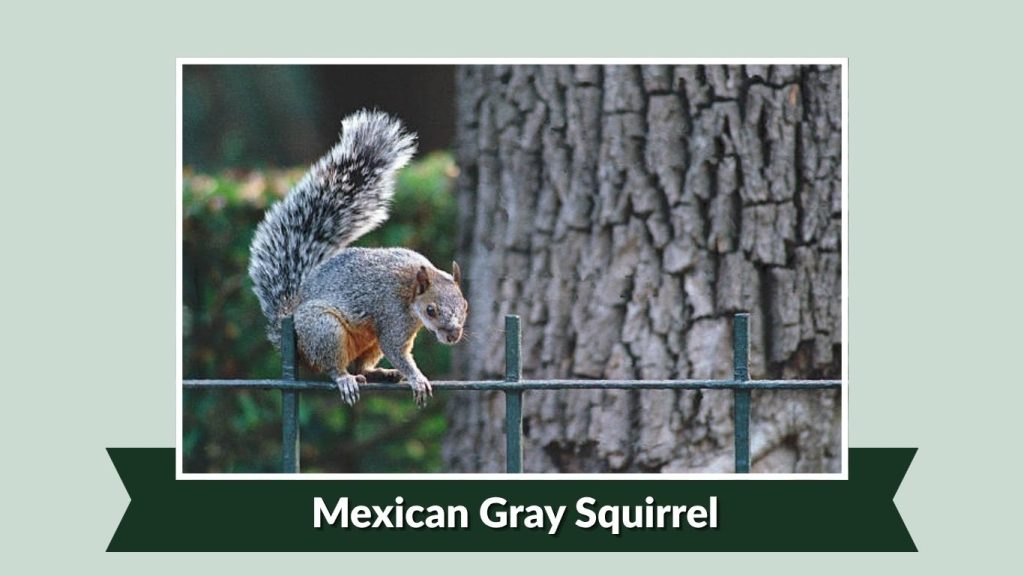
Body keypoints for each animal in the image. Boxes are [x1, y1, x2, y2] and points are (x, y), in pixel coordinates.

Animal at [248, 110, 467, 408]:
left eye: (465, 305)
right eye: (431, 310)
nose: (453, 334)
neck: (413, 289)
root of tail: (290, 332)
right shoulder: (393, 315)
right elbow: (396, 350)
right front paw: (418, 378)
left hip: (368, 340)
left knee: (362, 366)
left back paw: (381, 373)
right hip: (324, 329)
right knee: (333, 366)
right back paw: (345, 379)